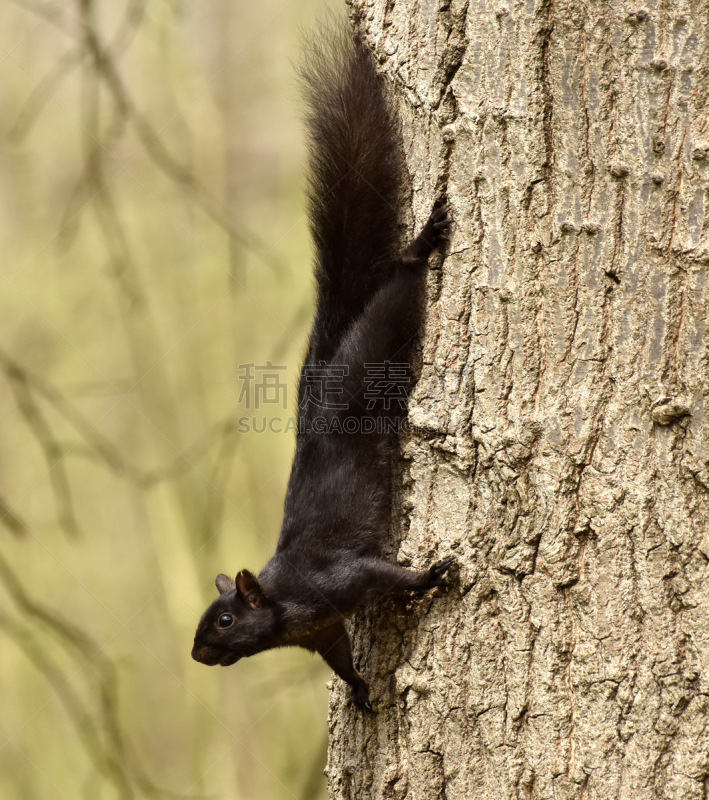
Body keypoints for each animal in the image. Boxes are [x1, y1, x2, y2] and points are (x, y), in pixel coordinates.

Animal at [191, 25, 450, 712]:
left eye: (225, 619)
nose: (196, 654)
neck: (285, 610)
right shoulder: (323, 631)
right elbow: (340, 659)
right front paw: (359, 690)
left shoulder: (341, 580)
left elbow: (389, 574)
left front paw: (431, 574)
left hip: (382, 337)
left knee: (400, 285)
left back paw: (423, 244)